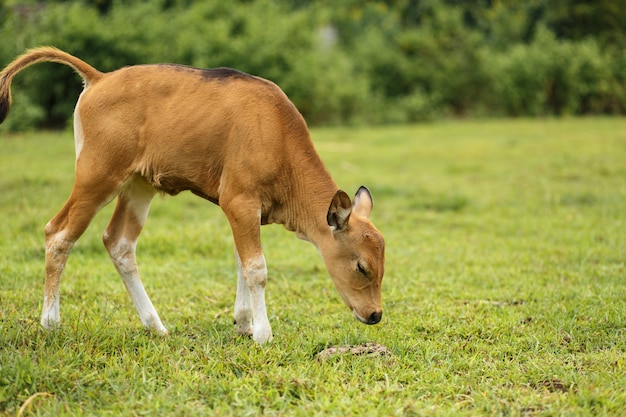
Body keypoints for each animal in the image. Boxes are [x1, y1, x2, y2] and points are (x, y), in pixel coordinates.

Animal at [0, 47, 382, 342]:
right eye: (362, 267)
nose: (375, 314)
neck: (277, 136)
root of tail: (99, 78)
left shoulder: (246, 212)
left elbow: (242, 262)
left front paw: (244, 323)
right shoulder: (239, 201)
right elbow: (256, 267)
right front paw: (263, 333)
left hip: (139, 185)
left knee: (119, 242)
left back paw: (155, 325)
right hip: (97, 176)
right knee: (58, 234)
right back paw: (50, 323)